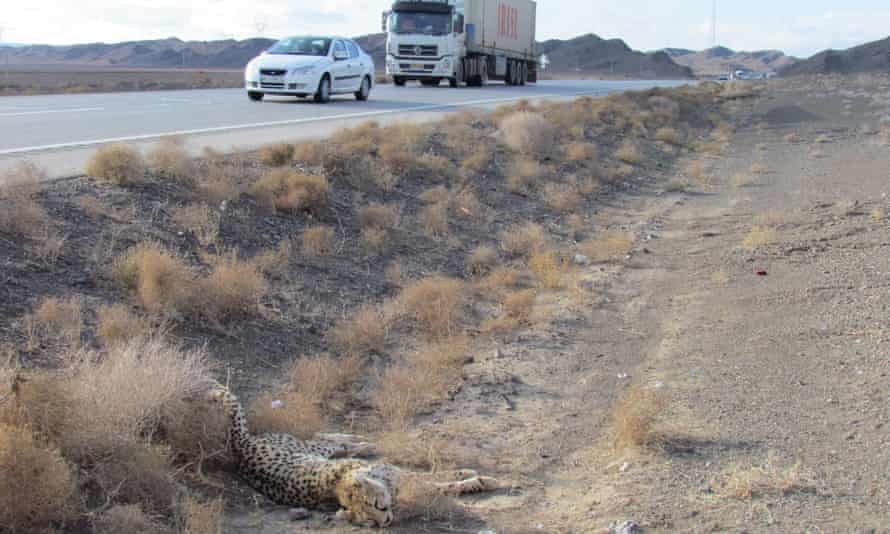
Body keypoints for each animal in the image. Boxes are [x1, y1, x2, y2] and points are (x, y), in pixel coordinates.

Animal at [207, 383, 498, 527]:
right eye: (369, 522)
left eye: (377, 506)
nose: (386, 522)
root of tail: (240, 449)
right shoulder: (404, 482)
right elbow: (439, 484)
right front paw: (477, 481)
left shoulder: (398, 476)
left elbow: (439, 476)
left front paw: (475, 476)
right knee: (325, 441)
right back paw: (363, 444)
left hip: (305, 449)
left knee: (324, 439)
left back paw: (361, 441)